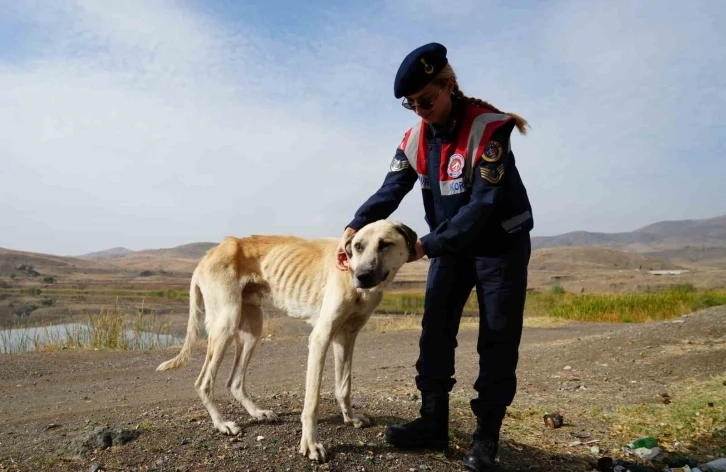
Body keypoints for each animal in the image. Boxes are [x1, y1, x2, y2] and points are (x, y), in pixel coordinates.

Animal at [156, 219, 418, 462]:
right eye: (358, 246)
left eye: (385, 244)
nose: (361, 277)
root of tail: (209, 254)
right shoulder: (321, 337)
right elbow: (312, 402)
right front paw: (311, 444)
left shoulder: (346, 337)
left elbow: (343, 387)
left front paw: (350, 419)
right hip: (225, 325)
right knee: (203, 382)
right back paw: (222, 424)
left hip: (252, 329)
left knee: (235, 381)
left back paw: (258, 412)